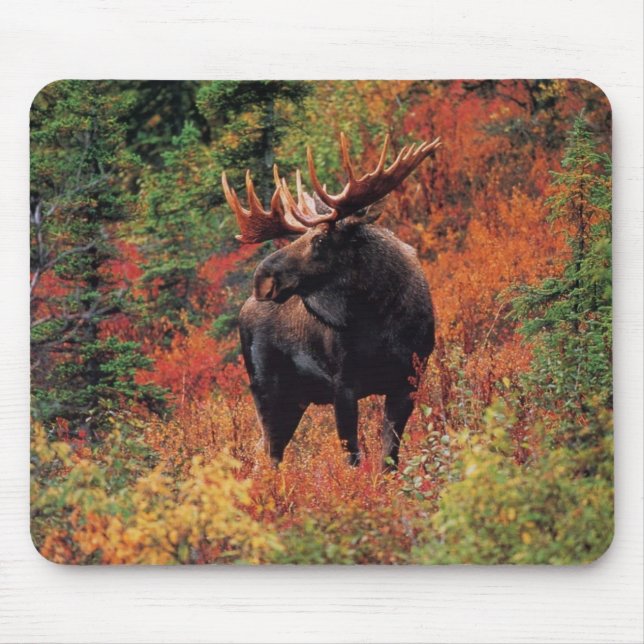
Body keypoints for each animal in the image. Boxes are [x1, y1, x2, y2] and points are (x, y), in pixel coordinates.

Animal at [221, 132, 441, 470]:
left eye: (320, 239)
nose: (262, 279)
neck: (383, 320)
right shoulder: (343, 385)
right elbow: (352, 457)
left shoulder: (409, 379)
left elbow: (389, 455)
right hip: (267, 389)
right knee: (269, 453)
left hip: (295, 398)